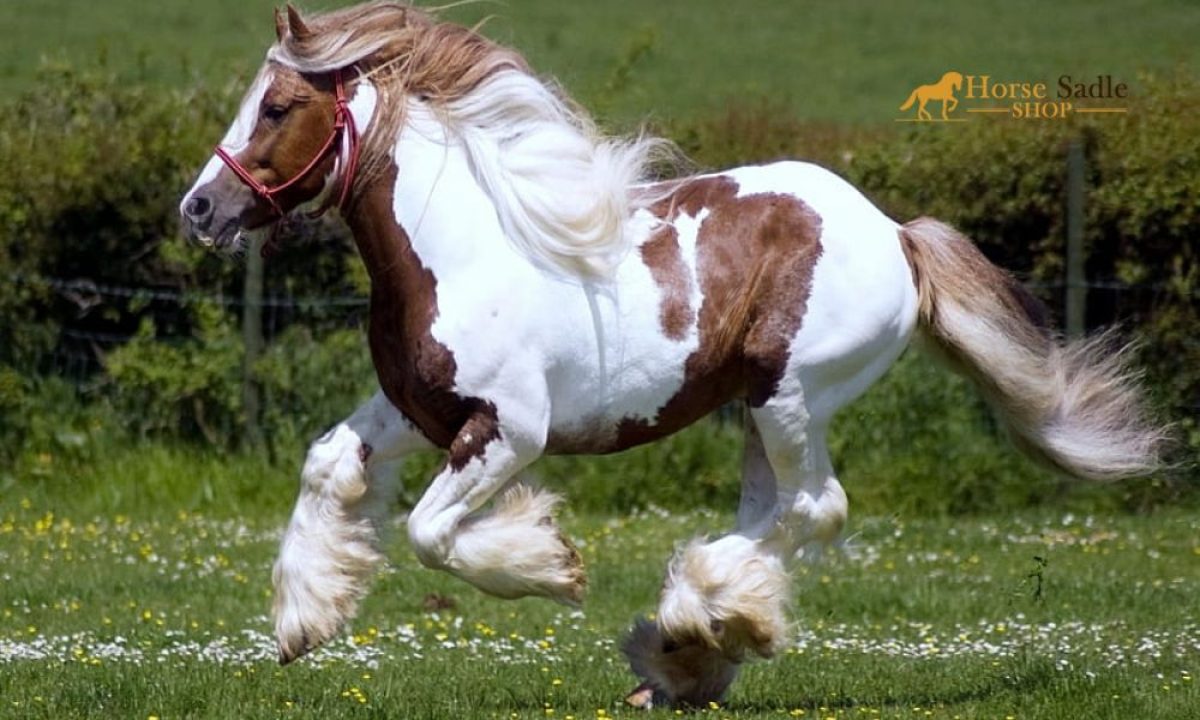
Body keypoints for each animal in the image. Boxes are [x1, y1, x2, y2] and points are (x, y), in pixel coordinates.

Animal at [179, 2, 1163, 708]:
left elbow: (429, 533)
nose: (199, 209)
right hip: (757, 410)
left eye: (278, 107)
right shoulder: (416, 411)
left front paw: (554, 565)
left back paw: (689, 627)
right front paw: (303, 621)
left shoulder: (510, 431)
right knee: (780, 512)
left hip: (789, 395)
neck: (461, 249)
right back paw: (689, 652)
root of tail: (895, 234)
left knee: (816, 508)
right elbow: (326, 464)